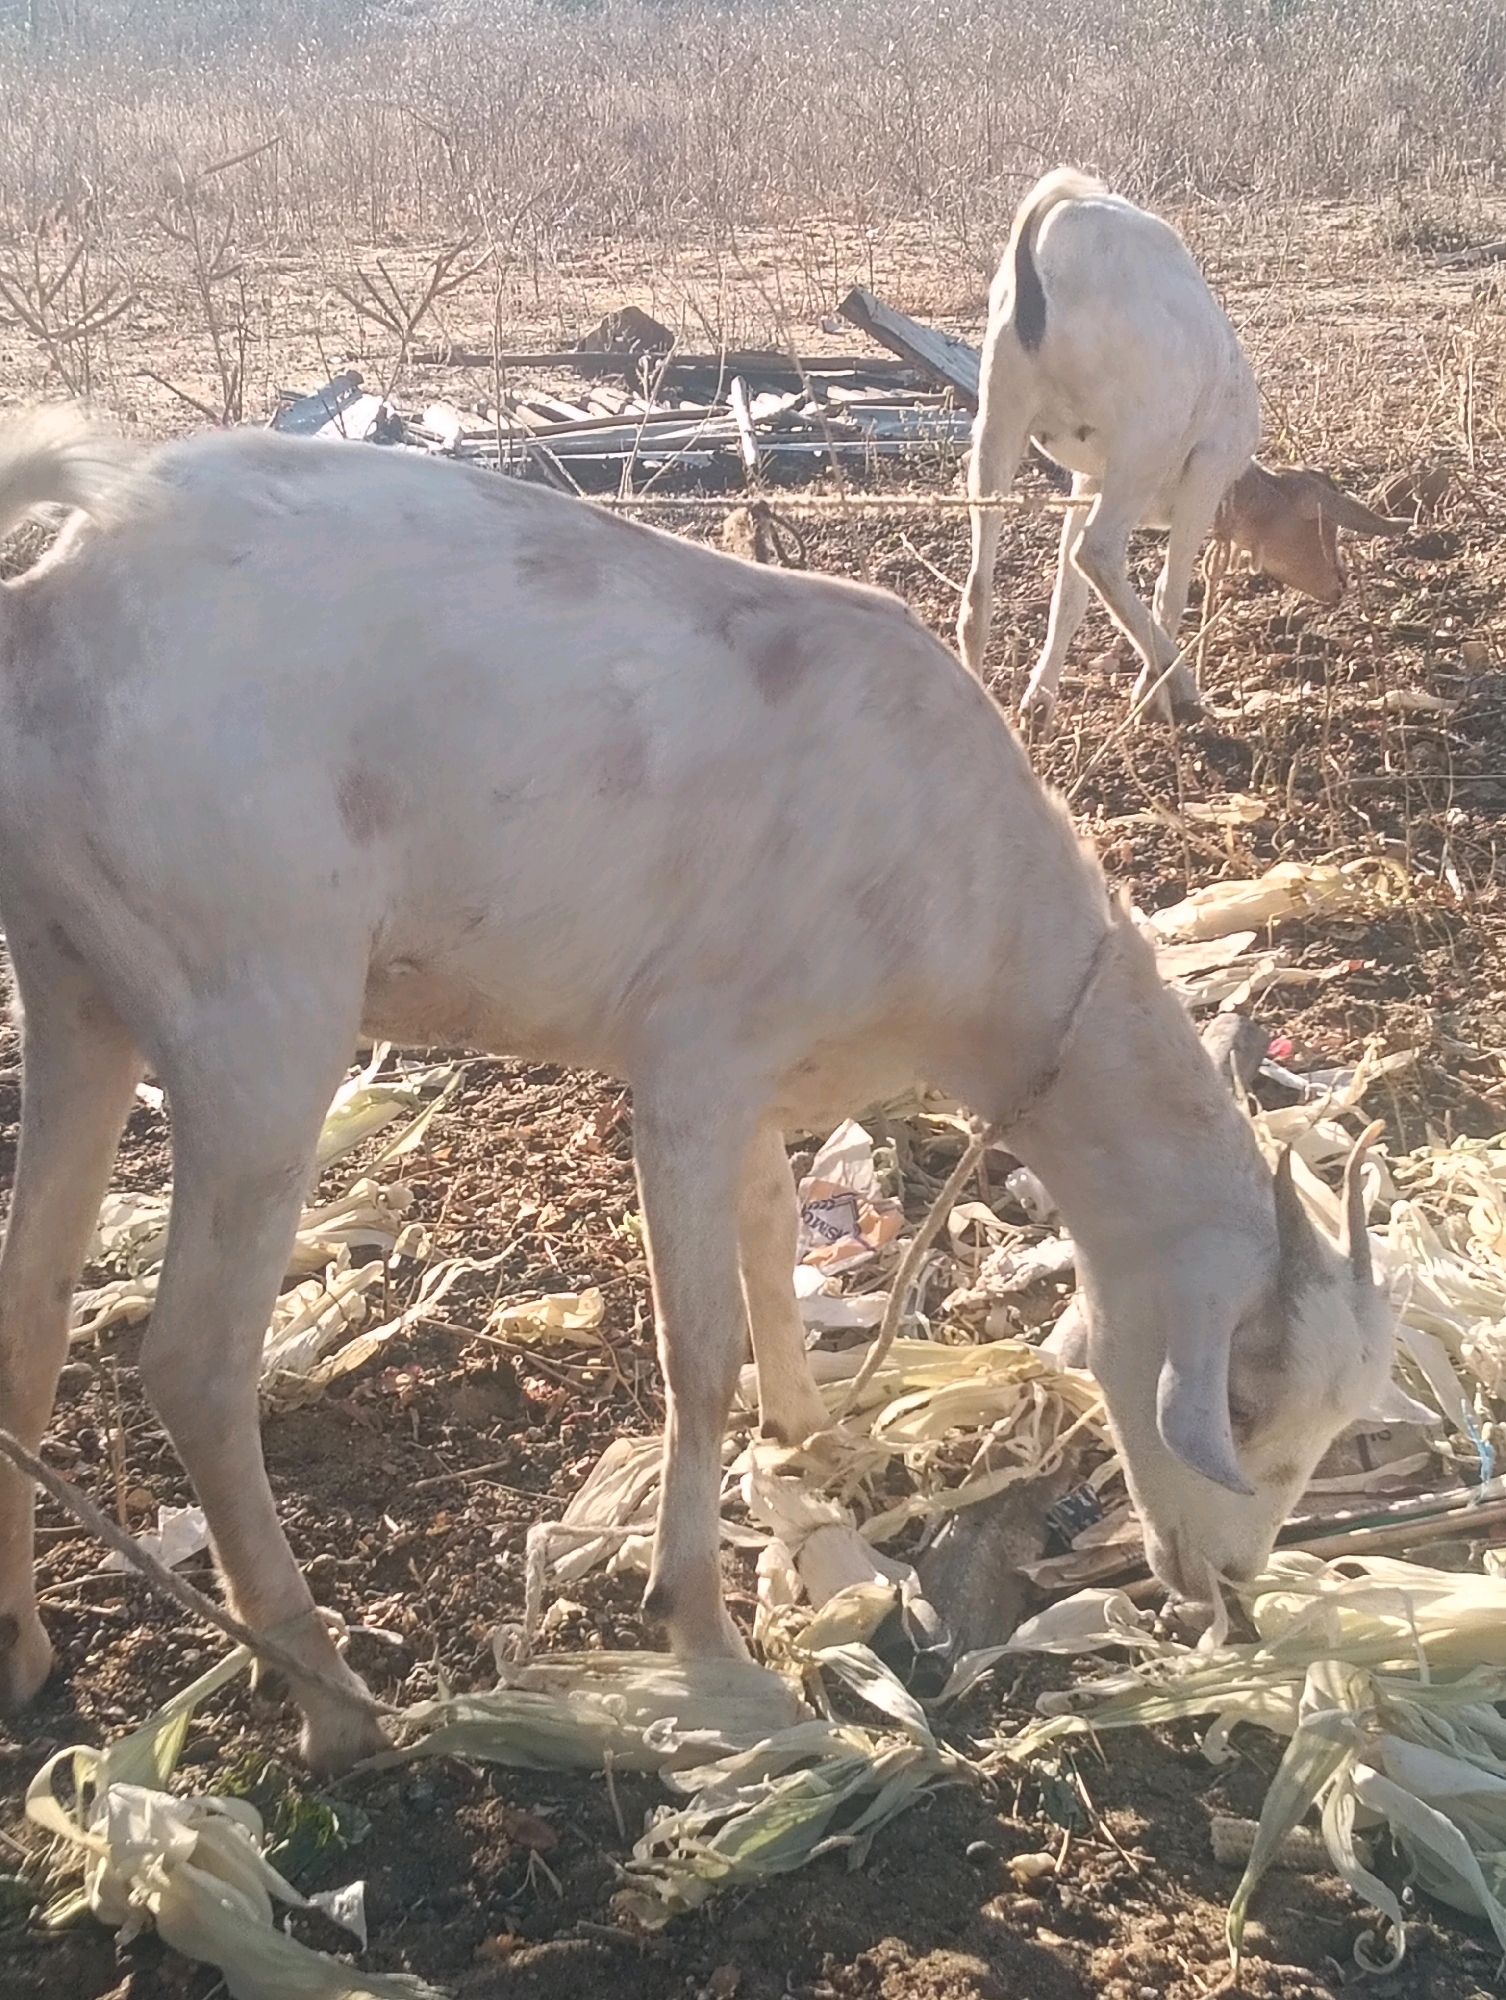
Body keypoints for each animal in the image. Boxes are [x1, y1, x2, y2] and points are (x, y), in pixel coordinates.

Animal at [0, 411, 1397, 1771]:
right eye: (1244, 1399)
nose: (1227, 1589)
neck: (968, 895)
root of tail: (70, 580)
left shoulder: (761, 1079)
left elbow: (773, 1240)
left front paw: (813, 1431)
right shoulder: (689, 1067)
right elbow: (699, 1344)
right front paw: (700, 1626)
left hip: (74, 984)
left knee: (31, 1307)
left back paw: (25, 1649)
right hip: (257, 1003)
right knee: (193, 1360)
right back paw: (331, 1698)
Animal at [957, 169, 1406, 727]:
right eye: (1319, 524)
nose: (1338, 583)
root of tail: (1053, 230)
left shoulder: (1088, 481)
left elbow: (1067, 598)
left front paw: (1040, 699)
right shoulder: (1206, 473)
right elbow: (1168, 591)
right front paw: (1154, 696)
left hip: (1000, 418)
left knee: (979, 589)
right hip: (1143, 445)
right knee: (1098, 553)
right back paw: (1182, 683)